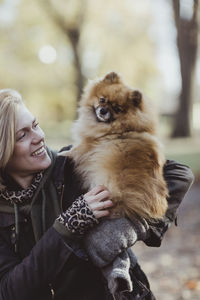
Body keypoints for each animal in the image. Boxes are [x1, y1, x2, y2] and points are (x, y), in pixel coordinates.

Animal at [66, 71, 168, 219]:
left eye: (116, 108)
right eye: (102, 100)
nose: (103, 110)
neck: (121, 128)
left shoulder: (86, 146)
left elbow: (70, 151)